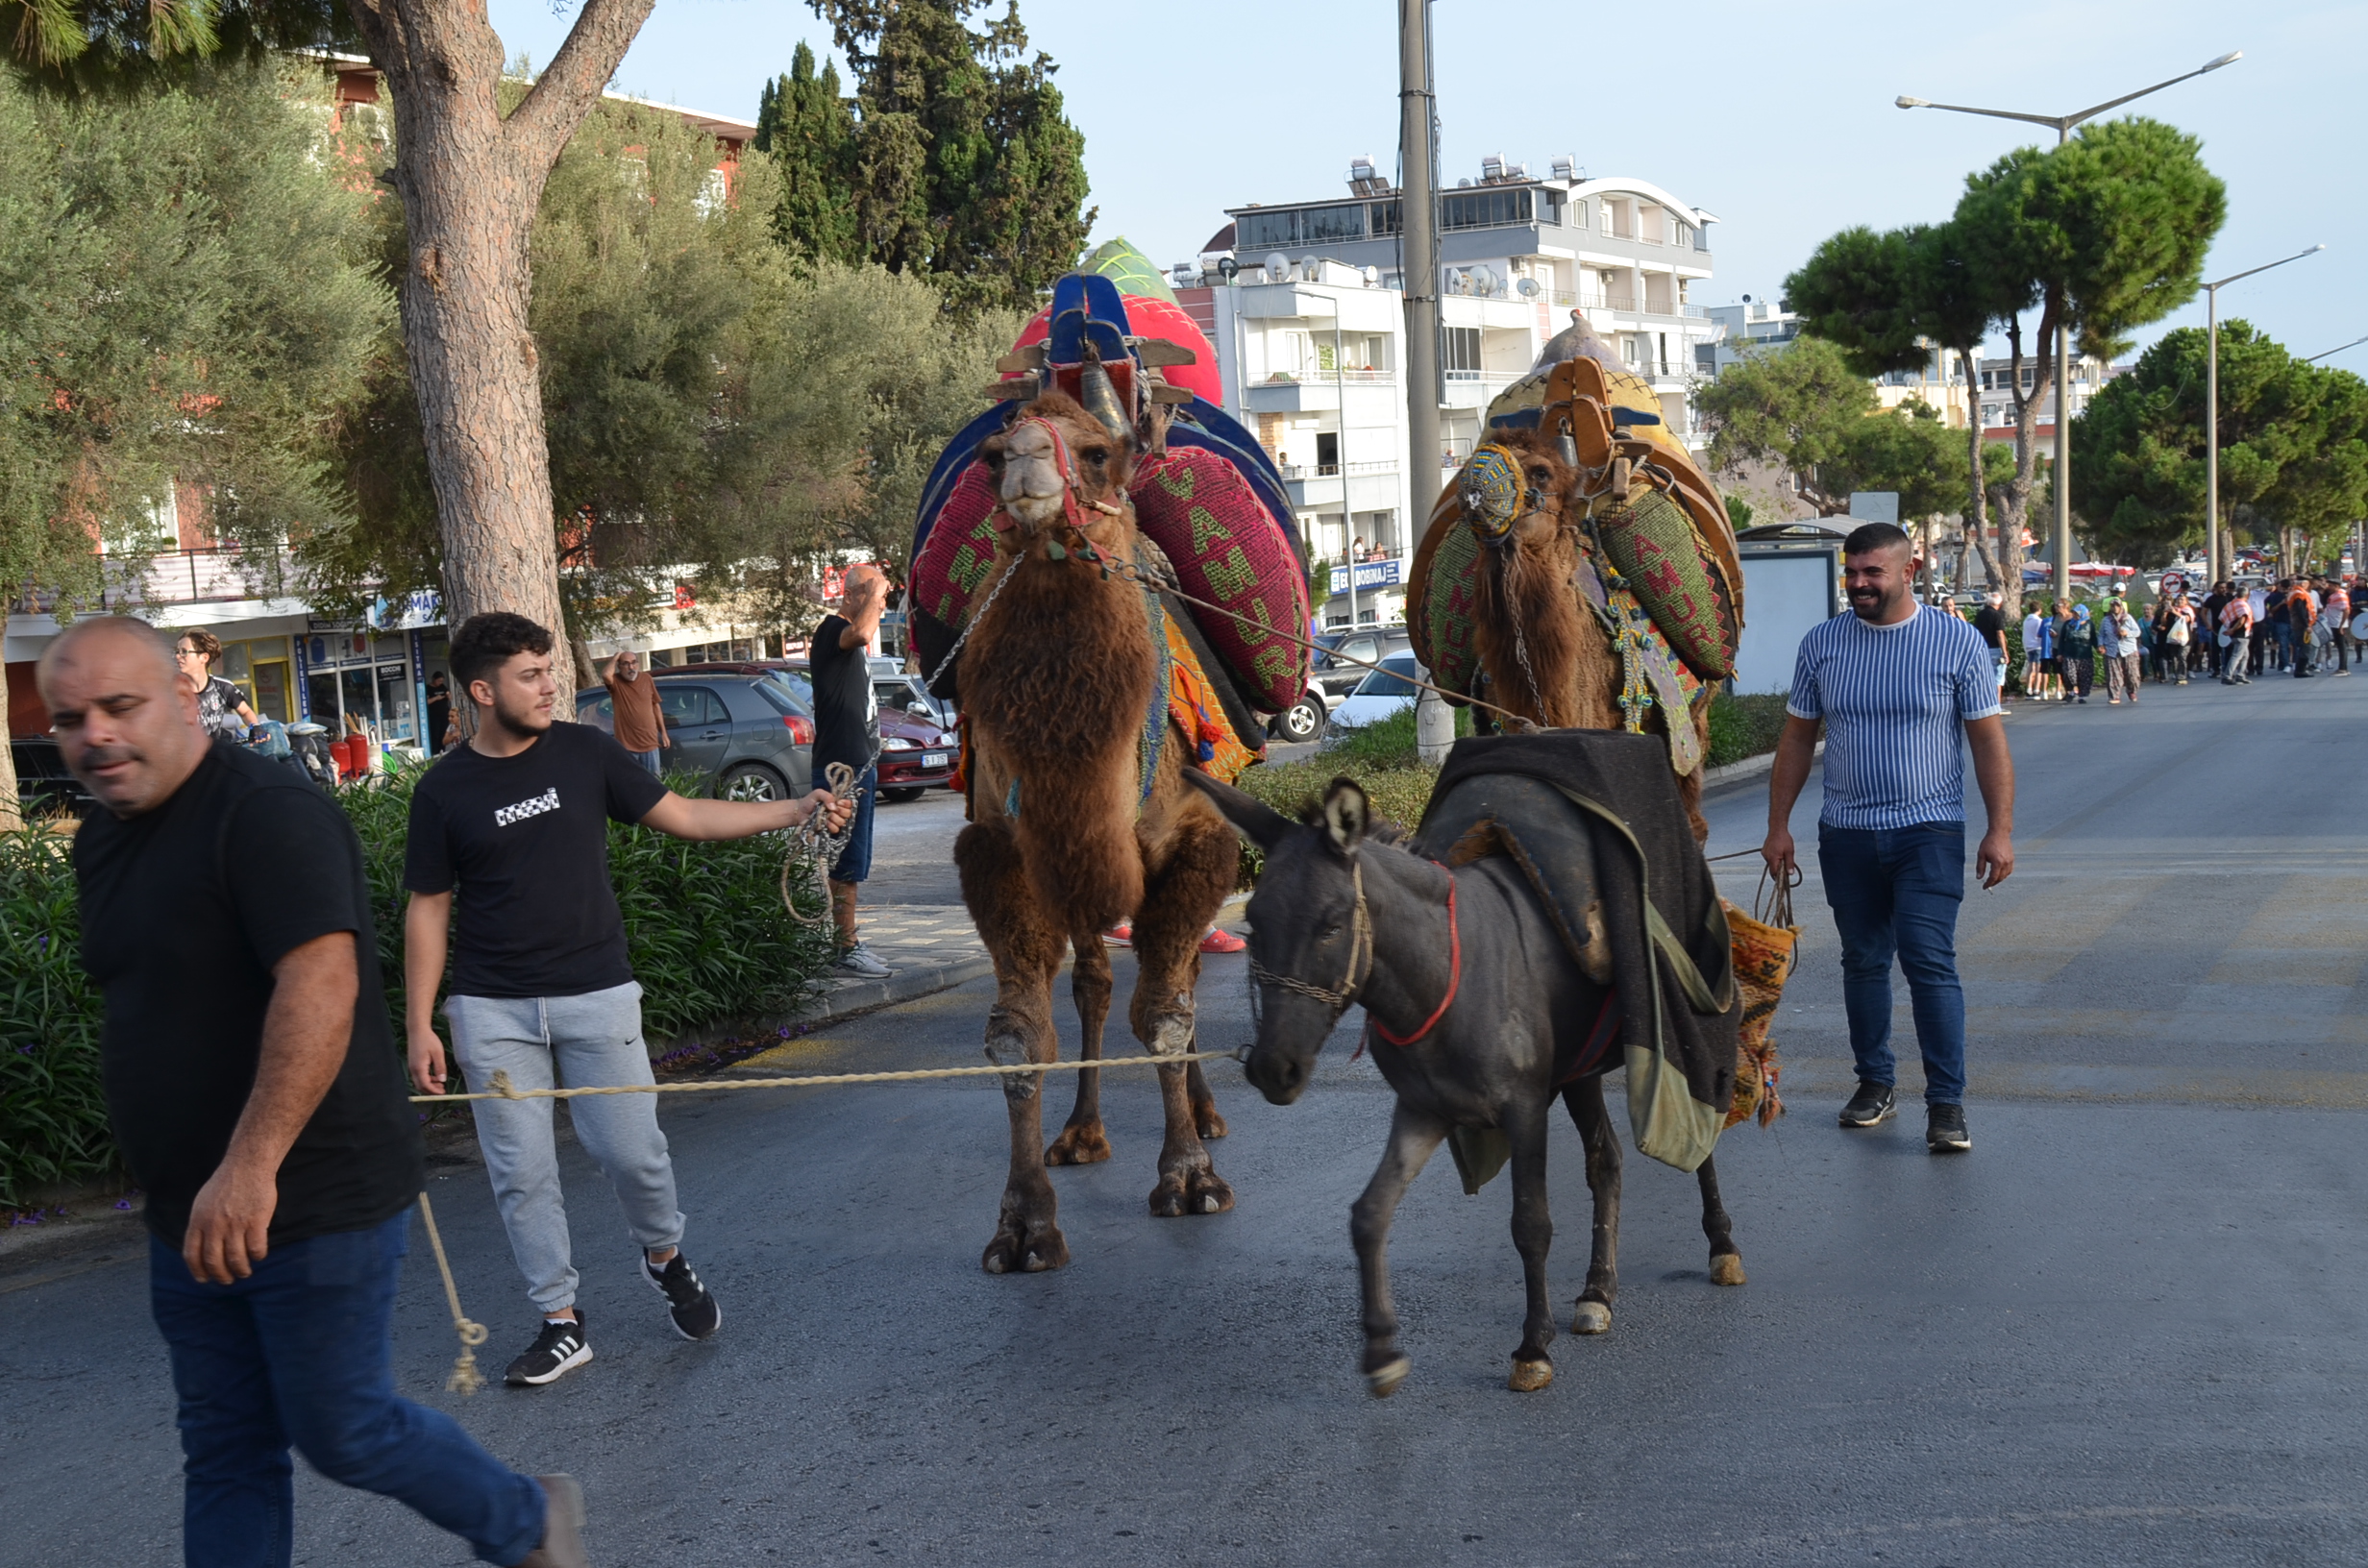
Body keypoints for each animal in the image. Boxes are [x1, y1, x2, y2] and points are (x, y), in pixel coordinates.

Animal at [947, 390, 1241, 1279]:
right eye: (991, 456)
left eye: (1099, 452)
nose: (1025, 466)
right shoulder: (1003, 855)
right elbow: (1017, 1037)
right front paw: (1022, 1224)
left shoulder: (1198, 843)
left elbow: (1167, 1014)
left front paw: (1189, 1177)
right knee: (1097, 981)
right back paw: (1080, 1132)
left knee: (1175, 978)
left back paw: (1205, 1115)